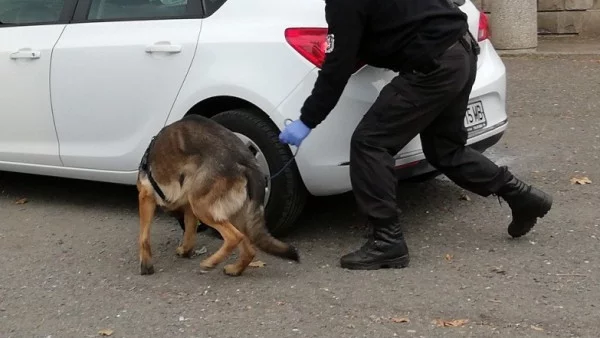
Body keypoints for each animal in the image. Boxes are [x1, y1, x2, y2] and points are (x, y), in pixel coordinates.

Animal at [134, 115, 298, 276]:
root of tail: (247, 161)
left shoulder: (145, 197)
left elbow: (144, 236)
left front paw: (146, 264)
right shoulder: (189, 208)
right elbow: (190, 232)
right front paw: (185, 250)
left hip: (201, 206)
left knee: (234, 237)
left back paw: (210, 263)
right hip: (230, 212)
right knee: (249, 248)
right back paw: (235, 269)